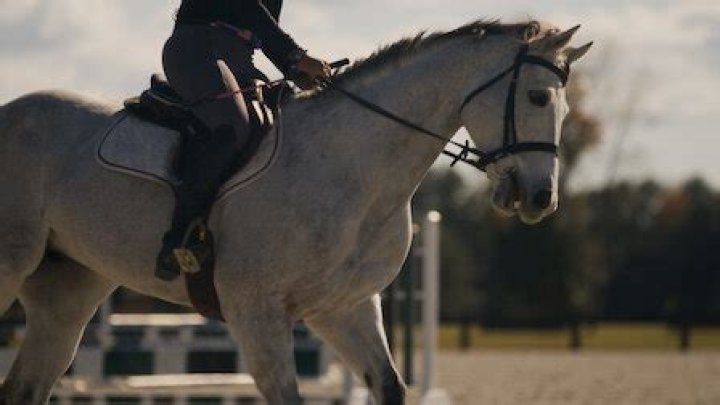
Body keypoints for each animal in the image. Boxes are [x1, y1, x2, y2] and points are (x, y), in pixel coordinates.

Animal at [0, 19, 591, 404]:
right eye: (538, 98)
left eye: (563, 106)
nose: (540, 198)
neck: (353, 169)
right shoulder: (257, 312)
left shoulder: (345, 308)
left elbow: (389, 385)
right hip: (12, 267)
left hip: (68, 291)